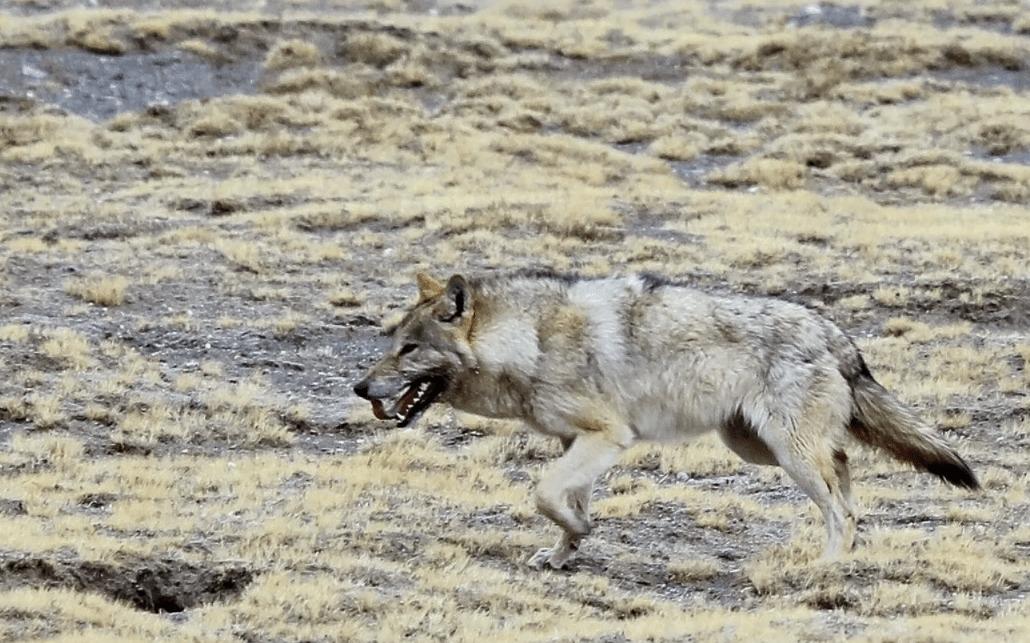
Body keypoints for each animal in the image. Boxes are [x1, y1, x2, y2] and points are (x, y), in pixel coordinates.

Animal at [356, 267, 980, 568]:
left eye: (408, 350)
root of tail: (836, 333)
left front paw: (577, 535)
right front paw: (564, 554)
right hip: (758, 447)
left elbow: (543, 494)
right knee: (847, 471)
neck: (528, 340)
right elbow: (563, 505)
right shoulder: (576, 443)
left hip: (787, 453)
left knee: (841, 506)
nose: (361, 388)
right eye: (390, 343)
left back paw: (824, 566)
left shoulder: (608, 437)